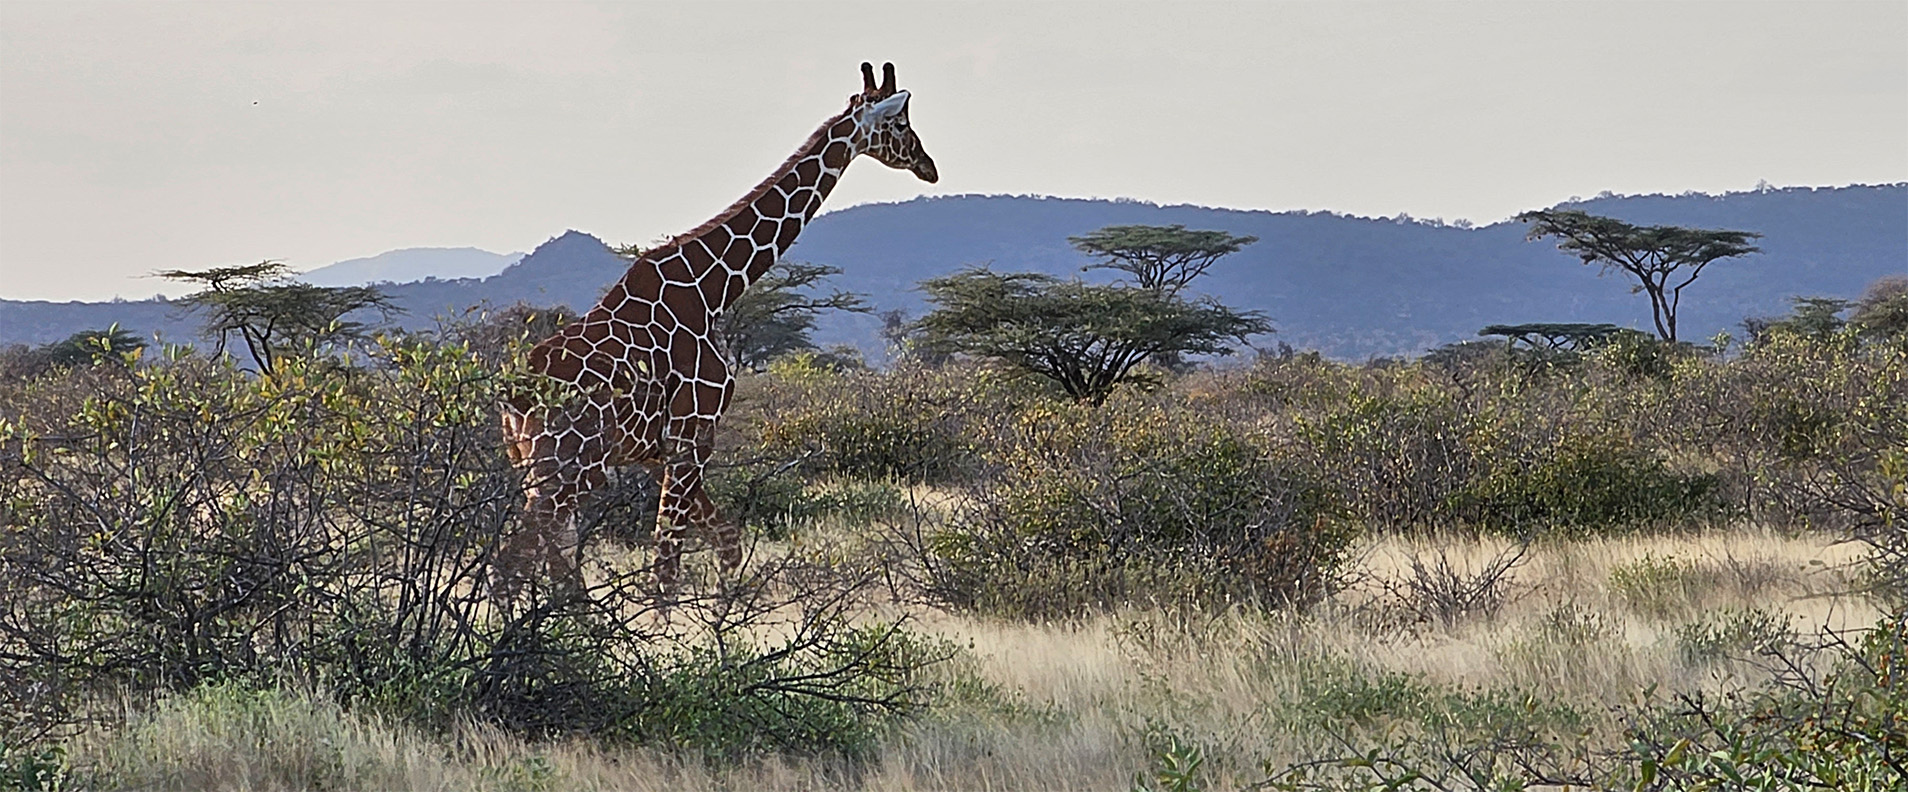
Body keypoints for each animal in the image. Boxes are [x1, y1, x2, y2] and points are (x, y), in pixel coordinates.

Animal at [496, 63, 934, 595]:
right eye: (900, 124)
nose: (928, 165)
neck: (712, 290)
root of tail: (512, 396)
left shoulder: (664, 450)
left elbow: (726, 541)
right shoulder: (693, 433)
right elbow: (666, 566)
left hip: (535, 466)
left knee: (538, 561)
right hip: (571, 467)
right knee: (510, 562)